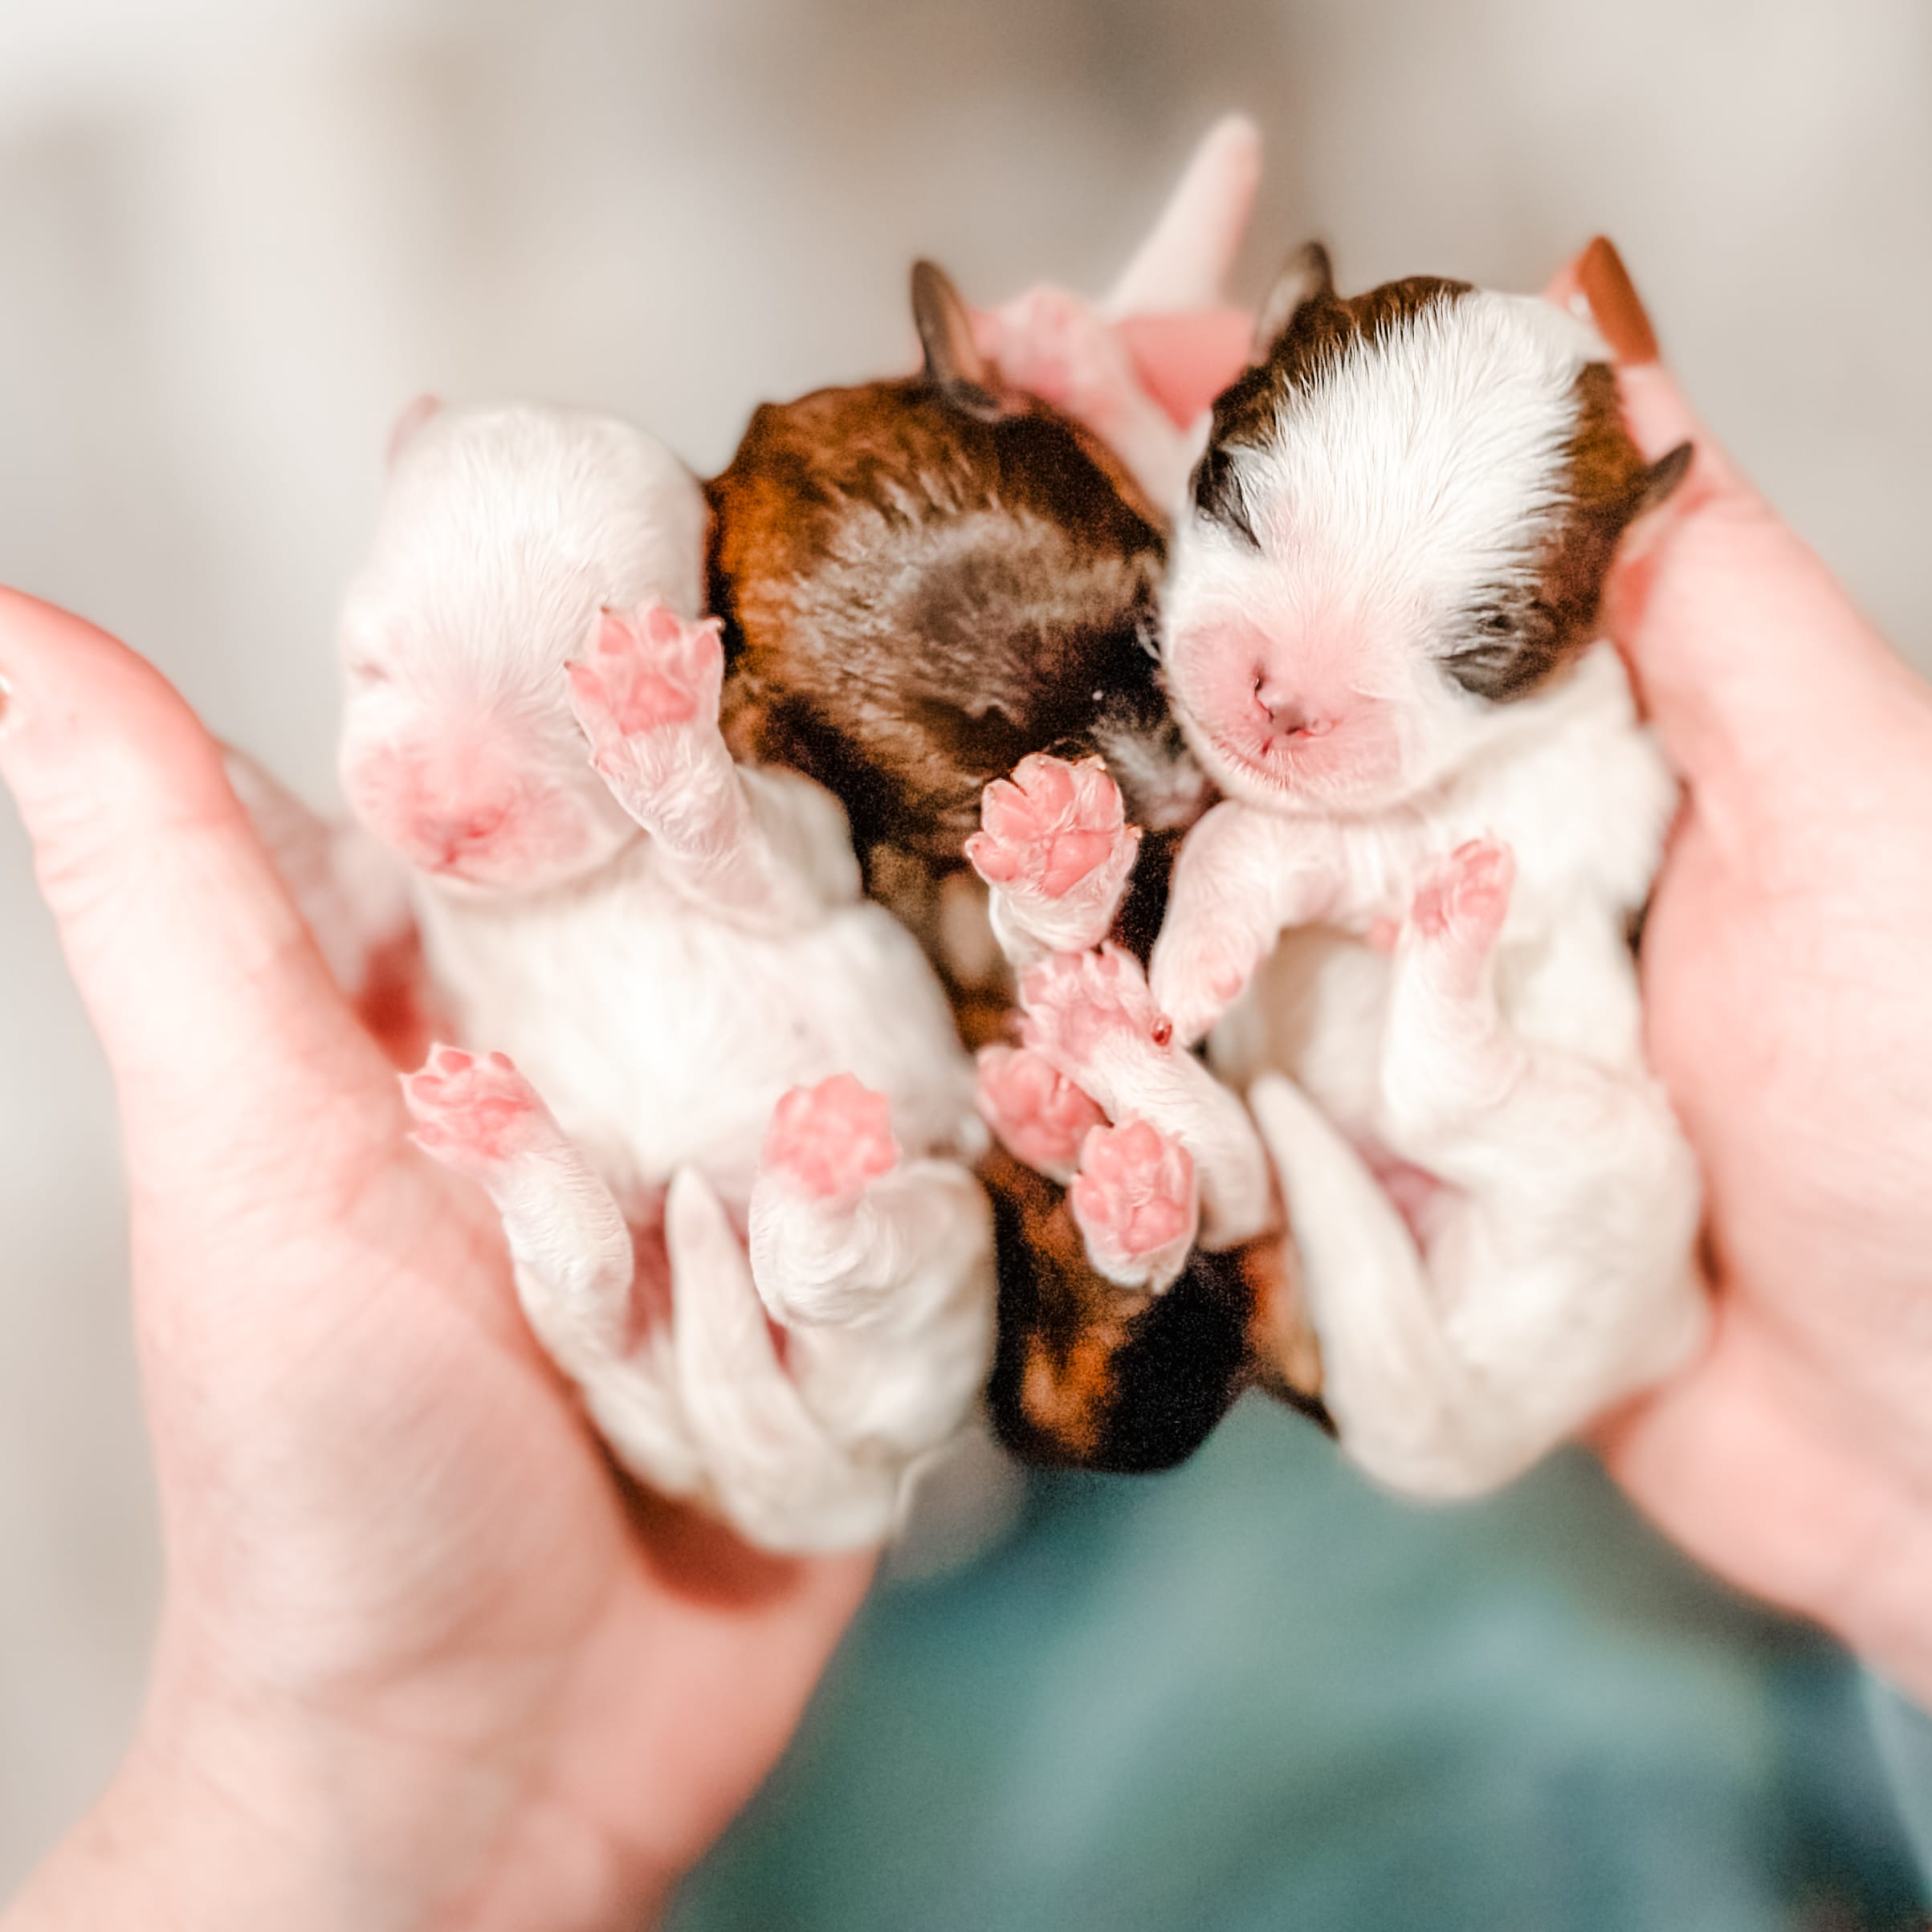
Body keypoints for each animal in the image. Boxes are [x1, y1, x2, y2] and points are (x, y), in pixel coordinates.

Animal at [328, 400, 997, 1545]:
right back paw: (508, 1141)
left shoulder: (806, 846)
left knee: (818, 1274)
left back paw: (811, 1169)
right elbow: (368, 879)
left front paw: (654, 724)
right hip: (628, 1363)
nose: (448, 819)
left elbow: (736, 849)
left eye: (567, 721)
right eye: (369, 662)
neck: (564, 886)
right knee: (592, 1291)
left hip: (952, 1252)